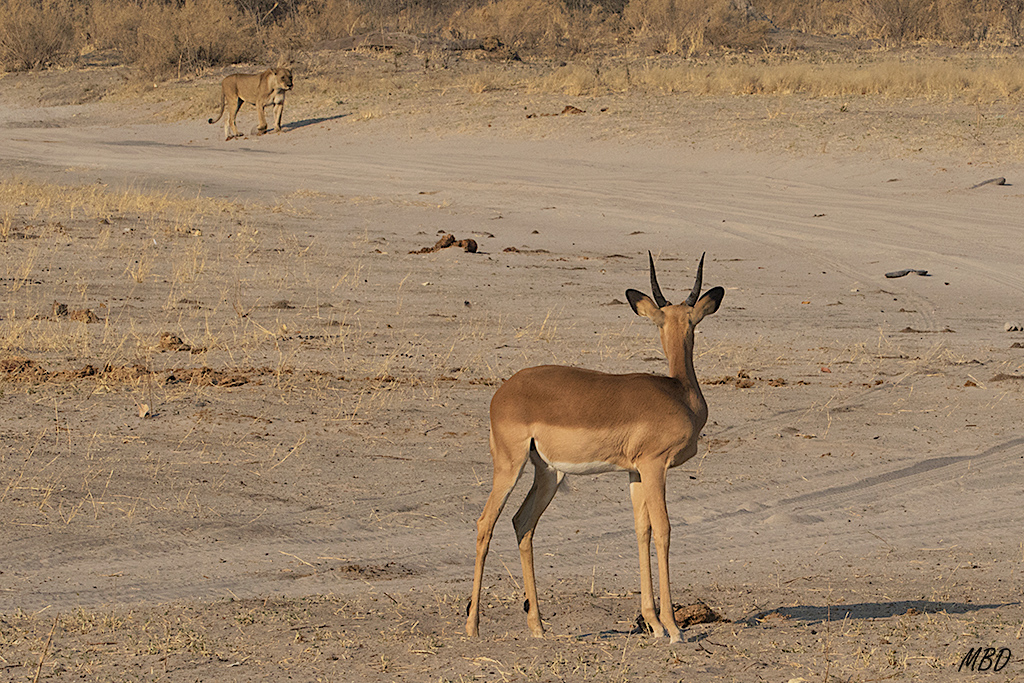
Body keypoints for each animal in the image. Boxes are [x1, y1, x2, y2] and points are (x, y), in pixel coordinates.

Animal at [466, 251, 724, 643]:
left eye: (690, 320)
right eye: (663, 321)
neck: (679, 392)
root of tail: (502, 392)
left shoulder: (634, 472)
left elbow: (642, 531)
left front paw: (653, 623)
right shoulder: (654, 466)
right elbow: (663, 531)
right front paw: (673, 628)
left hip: (549, 474)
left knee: (522, 522)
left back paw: (537, 626)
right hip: (510, 466)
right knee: (486, 522)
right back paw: (472, 625)